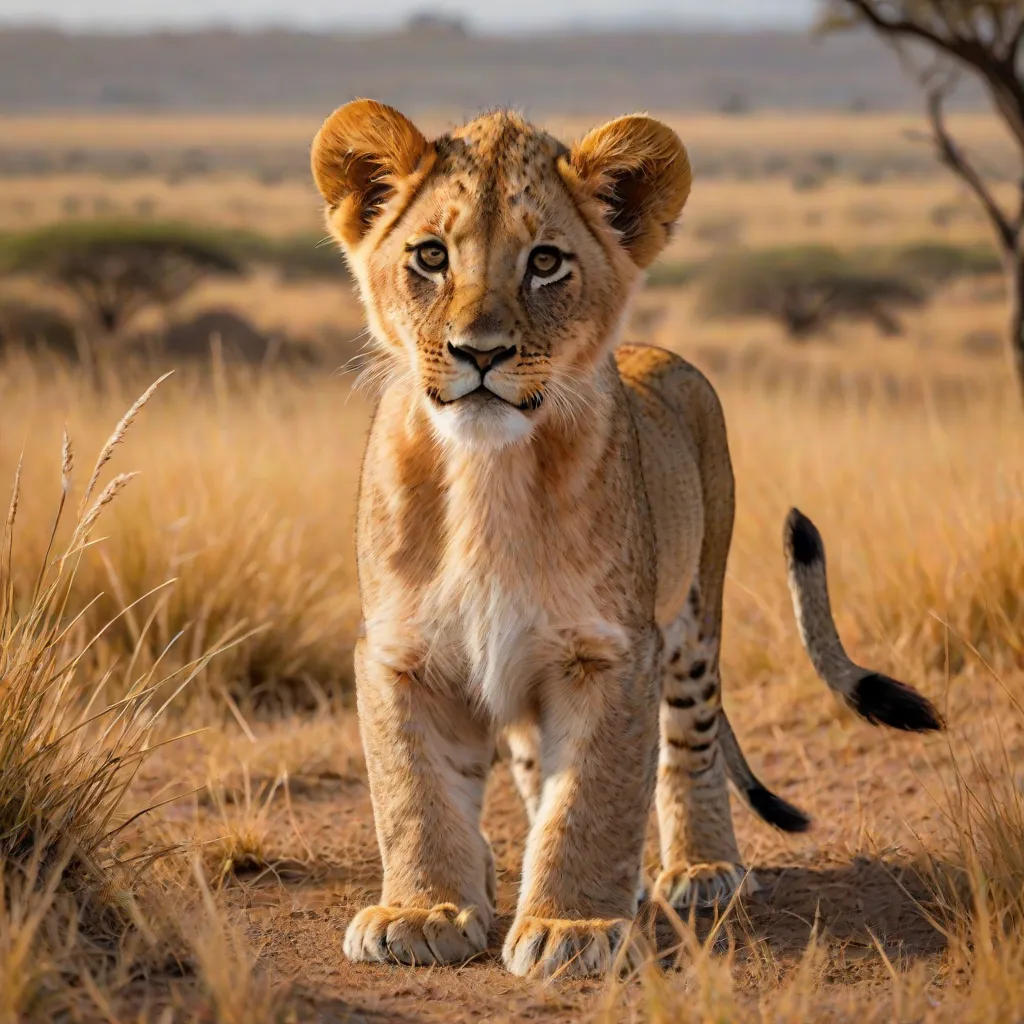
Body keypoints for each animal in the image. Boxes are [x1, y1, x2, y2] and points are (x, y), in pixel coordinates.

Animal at [309, 100, 943, 979]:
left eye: (545, 262)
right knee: (534, 766)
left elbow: (595, 794)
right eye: (430, 256)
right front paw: (423, 910)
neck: (486, 472)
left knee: (688, 744)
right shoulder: (402, 650)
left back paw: (701, 870)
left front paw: (570, 925)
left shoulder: (611, 649)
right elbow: (414, 790)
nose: (480, 353)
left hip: (693, 617)